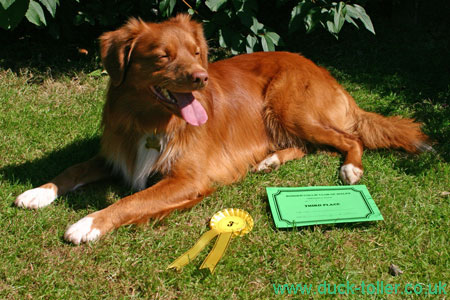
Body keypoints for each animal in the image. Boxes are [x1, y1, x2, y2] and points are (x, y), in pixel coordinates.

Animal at [14, 15, 428, 244]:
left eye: (196, 52)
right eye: (162, 56)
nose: (202, 77)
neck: (150, 120)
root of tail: (326, 72)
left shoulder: (189, 178)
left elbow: (131, 201)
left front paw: (88, 223)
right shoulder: (118, 154)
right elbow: (73, 169)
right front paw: (39, 192)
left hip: (288, 105)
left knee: (349, 138)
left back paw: (351, 168)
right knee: (309, 145)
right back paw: (271, 161)